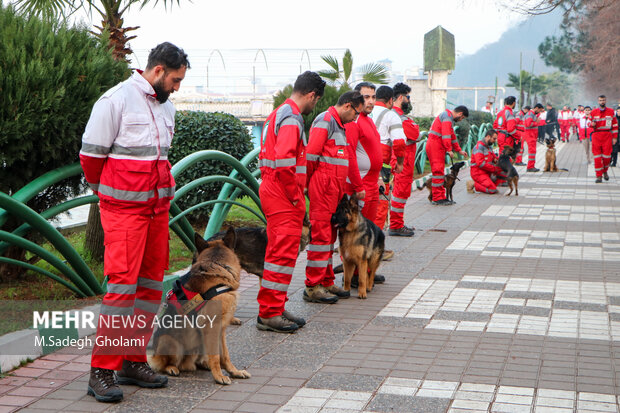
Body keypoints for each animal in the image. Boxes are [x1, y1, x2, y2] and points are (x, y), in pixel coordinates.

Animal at [149, 229, 251, 384]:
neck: (216, 265)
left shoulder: (221, 329)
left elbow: (225, 354)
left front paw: (234, 371)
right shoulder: (212, 327)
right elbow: (216, 356)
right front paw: (219, 376)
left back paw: (204, 364)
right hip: (170, 341)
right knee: (164, 364)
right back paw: (171, 368)